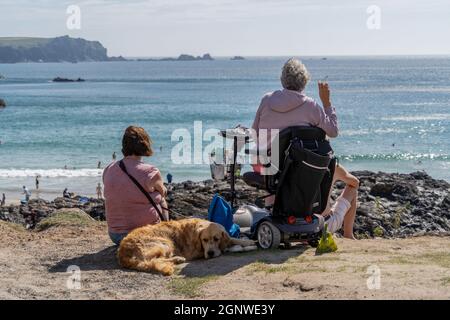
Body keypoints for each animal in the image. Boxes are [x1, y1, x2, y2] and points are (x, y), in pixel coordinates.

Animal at [118, 219, 255, 276]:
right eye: (204, 240)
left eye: (216, 239)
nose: (210, 253)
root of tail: (122, 253)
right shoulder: (195, 252)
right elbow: (229, 244)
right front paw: (245, 245)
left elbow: (231, 239)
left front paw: (248, 242)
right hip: (165, 243)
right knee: (156, 260)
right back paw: (178, 259)